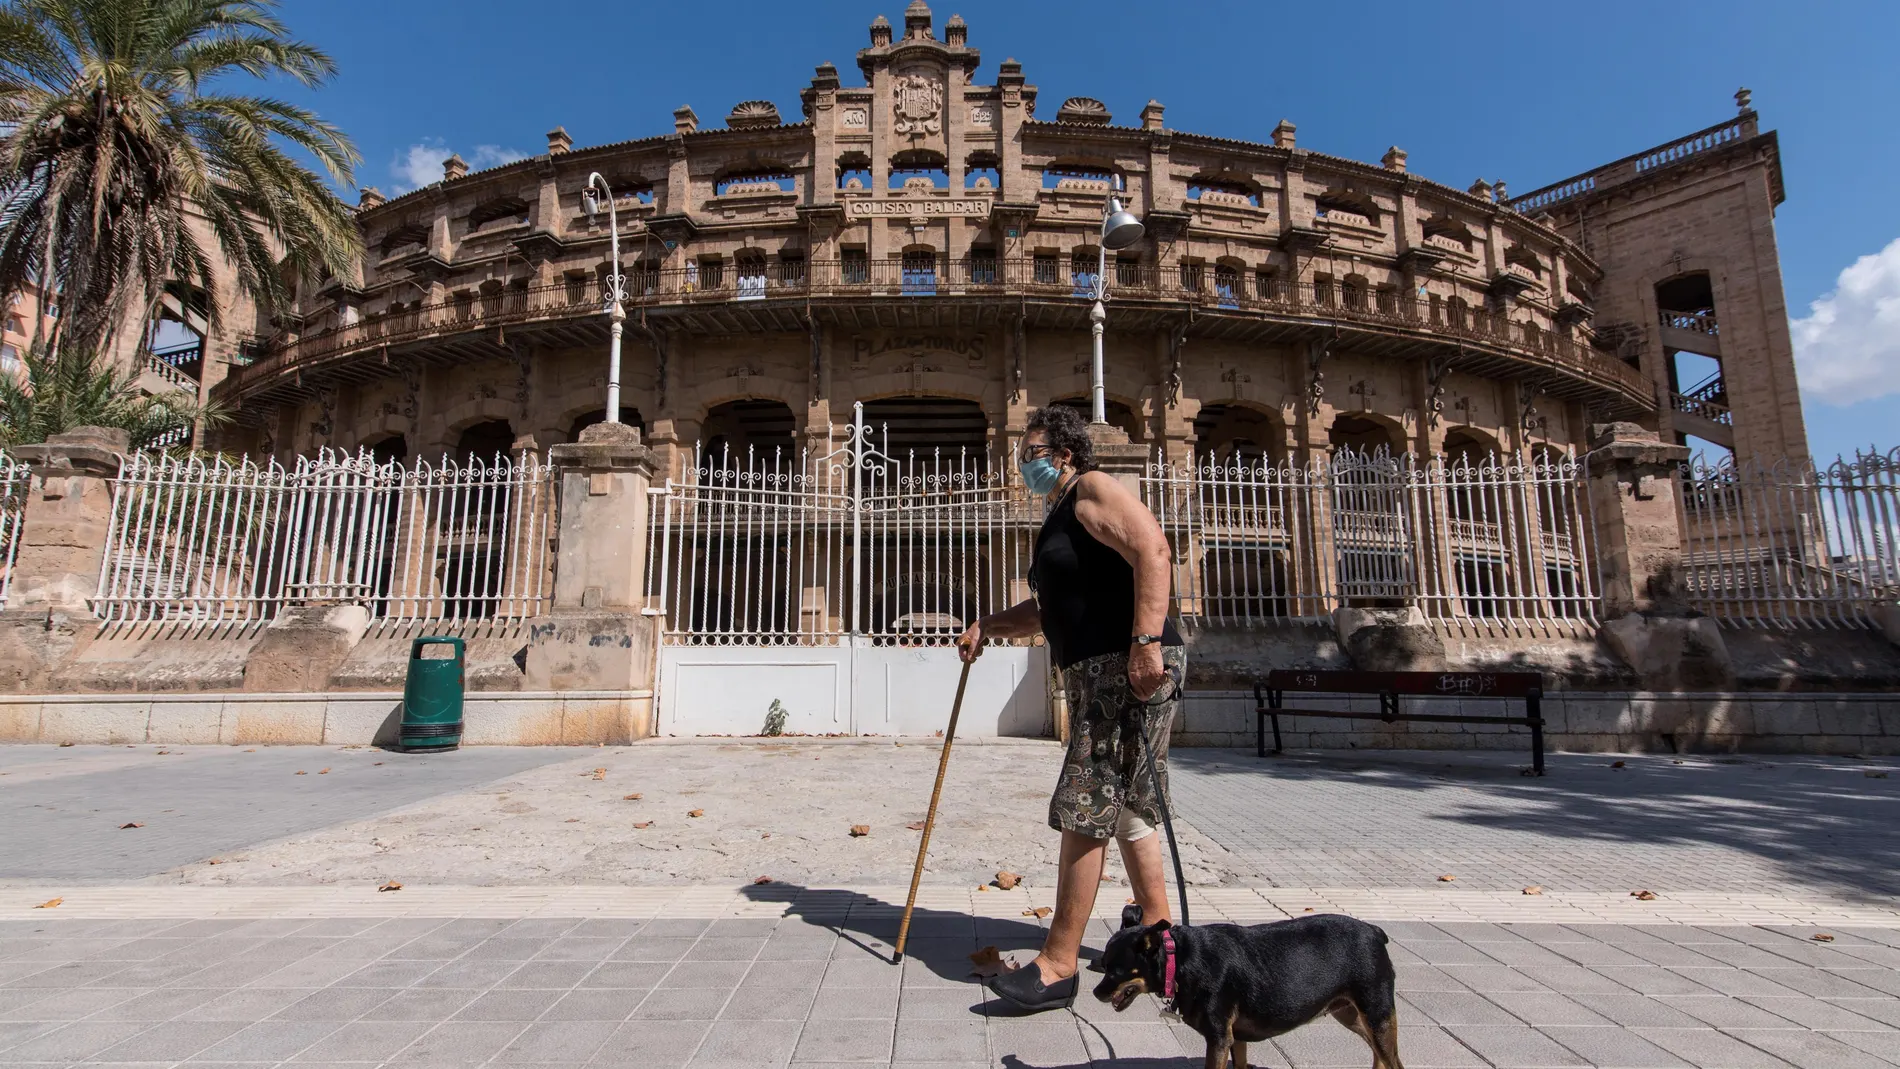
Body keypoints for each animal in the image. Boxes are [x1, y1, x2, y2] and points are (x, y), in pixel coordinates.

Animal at [1094, 907, 1406, 1069]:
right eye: (1103, 965)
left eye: (1116, 972)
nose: (1097, 993)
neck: (1179, 959)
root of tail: (1374, 931)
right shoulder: (1235, 1037)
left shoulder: (1219, 1039)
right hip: (1352, 1015)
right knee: (1380, 1057)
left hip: (1377, 1015)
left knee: (1392, 1061)